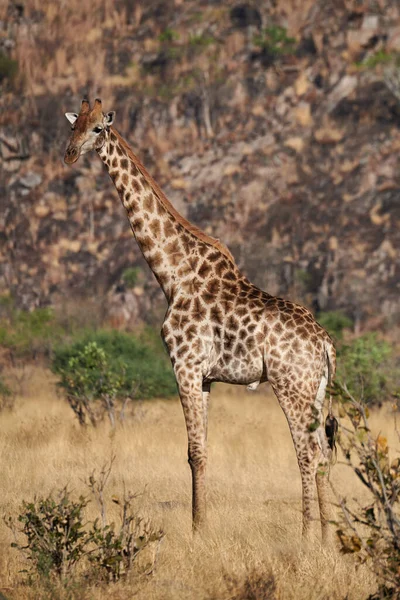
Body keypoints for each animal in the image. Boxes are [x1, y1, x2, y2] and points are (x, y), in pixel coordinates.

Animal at [65, 98, 338, 540]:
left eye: (97, 130)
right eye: (73, 127)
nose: (69, 154)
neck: (172, 274)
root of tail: (326, 342)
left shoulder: (185, 366)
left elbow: (193, 452)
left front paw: (196, 532)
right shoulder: (206, 376)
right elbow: (203, 451)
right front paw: (202, 525)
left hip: (290, 385)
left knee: (308, 452)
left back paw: (306, 537)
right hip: (316, 390)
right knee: (325, 452)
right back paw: (330, 536)